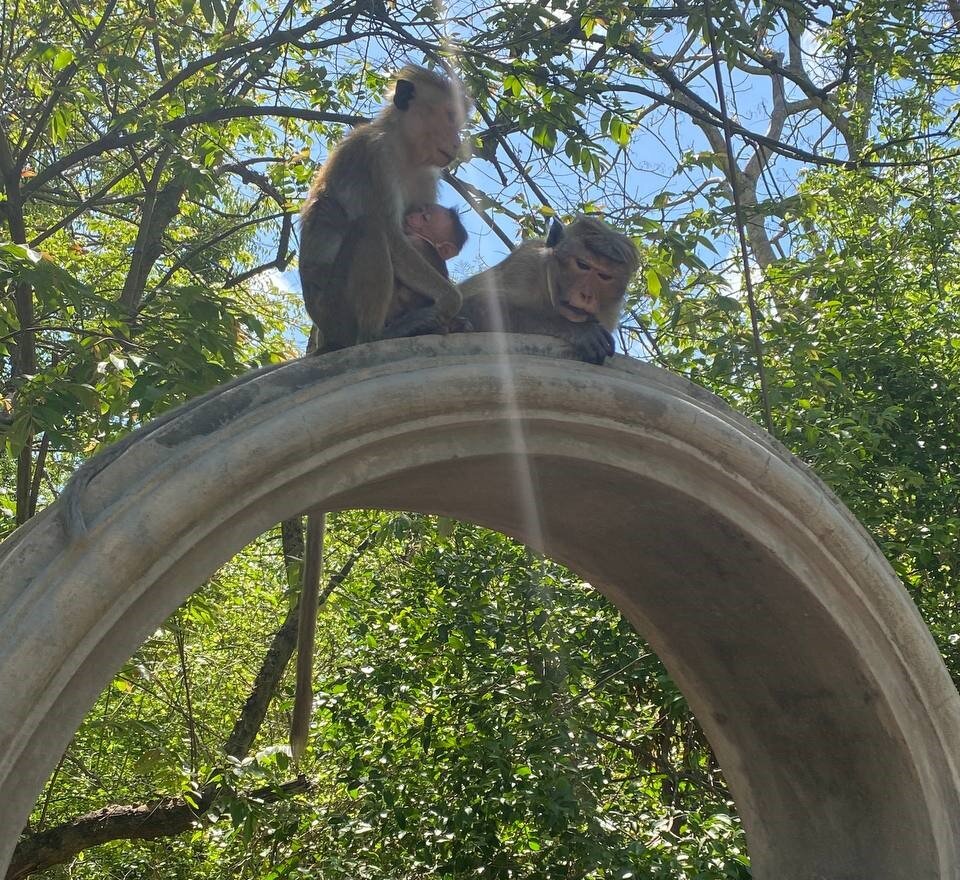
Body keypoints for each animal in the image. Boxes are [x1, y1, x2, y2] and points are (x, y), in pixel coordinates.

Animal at [296, 63, 468, 352]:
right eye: (449, 116)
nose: (457, 142)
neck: (404, 148)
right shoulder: (375, 158)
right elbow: (394, 237)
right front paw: (451, 300)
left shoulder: (427, 175)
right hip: (335, 311)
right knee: (371, 228)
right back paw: (377, 336)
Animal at [458, 214, 636, 364]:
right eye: (582, 265)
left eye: (604, 276)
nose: (586, 295)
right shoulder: (525, 266)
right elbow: (476, 304)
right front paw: (580, 330)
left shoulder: (609, 314)